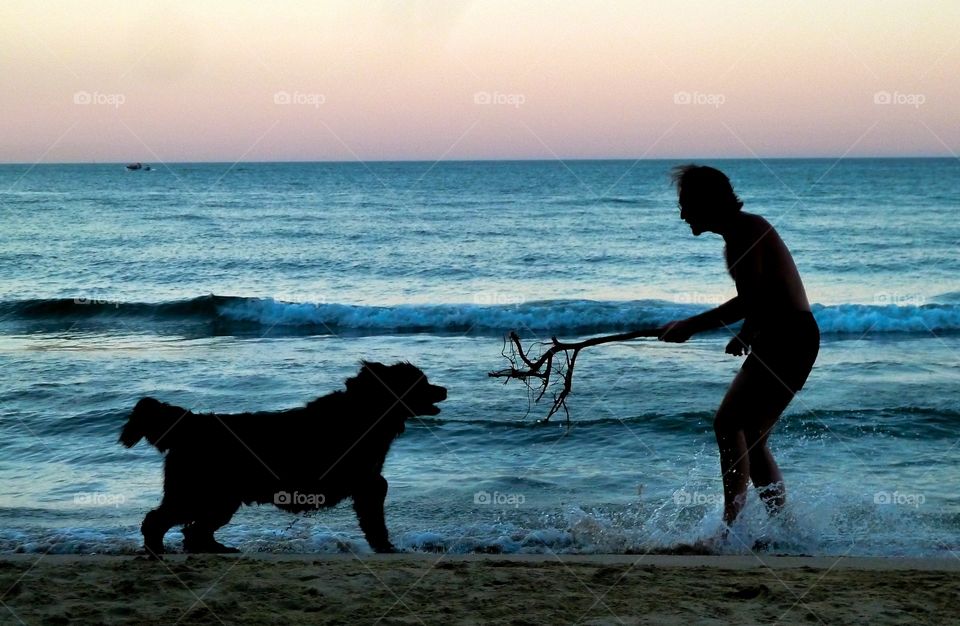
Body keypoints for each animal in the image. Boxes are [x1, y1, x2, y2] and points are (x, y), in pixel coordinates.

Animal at [120, 358, 446, 552]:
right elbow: (375, 517)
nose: (444, 389)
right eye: (421, 382)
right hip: (198, 493)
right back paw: (158, 551)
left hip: (219, 499)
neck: (366, 412)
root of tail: (192, 423)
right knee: (158, 521)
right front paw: (385, 547)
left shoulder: (368, 483)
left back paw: (216, 549)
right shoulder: (367, 483)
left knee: (195, 532)